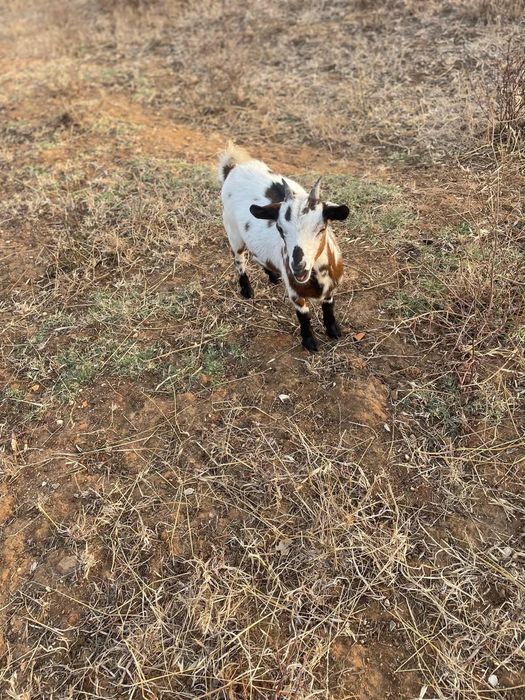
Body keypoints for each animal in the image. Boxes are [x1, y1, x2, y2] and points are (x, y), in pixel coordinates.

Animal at [218, 143, 349, 352]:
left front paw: (334, 331)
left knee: (257, 255)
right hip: (233, 233)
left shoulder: (330, 289)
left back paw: (273, 276)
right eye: (280, 228)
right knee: (239, 260)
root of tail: (233, 168)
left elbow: (329, 307)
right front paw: (310, 342)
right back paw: (247, 290)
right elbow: (303, 316)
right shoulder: (296, 295)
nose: (298, 267)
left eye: (322, 228)